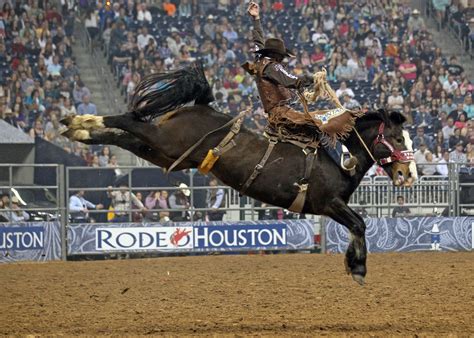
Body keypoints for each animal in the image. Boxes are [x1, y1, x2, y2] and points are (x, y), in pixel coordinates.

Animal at [61, 62, 416, 284]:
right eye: (398, 139)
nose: (409, 174)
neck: (340, 160)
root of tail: (201, 106)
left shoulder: (330, 208)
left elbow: (357, 226)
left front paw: (352, 262)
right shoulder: (329, 203)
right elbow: (360, 224)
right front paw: (358, 268)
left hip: (165, 151)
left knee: (126, 134)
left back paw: (80, 129)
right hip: (163, 140)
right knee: (128, 120)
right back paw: (78, 122)